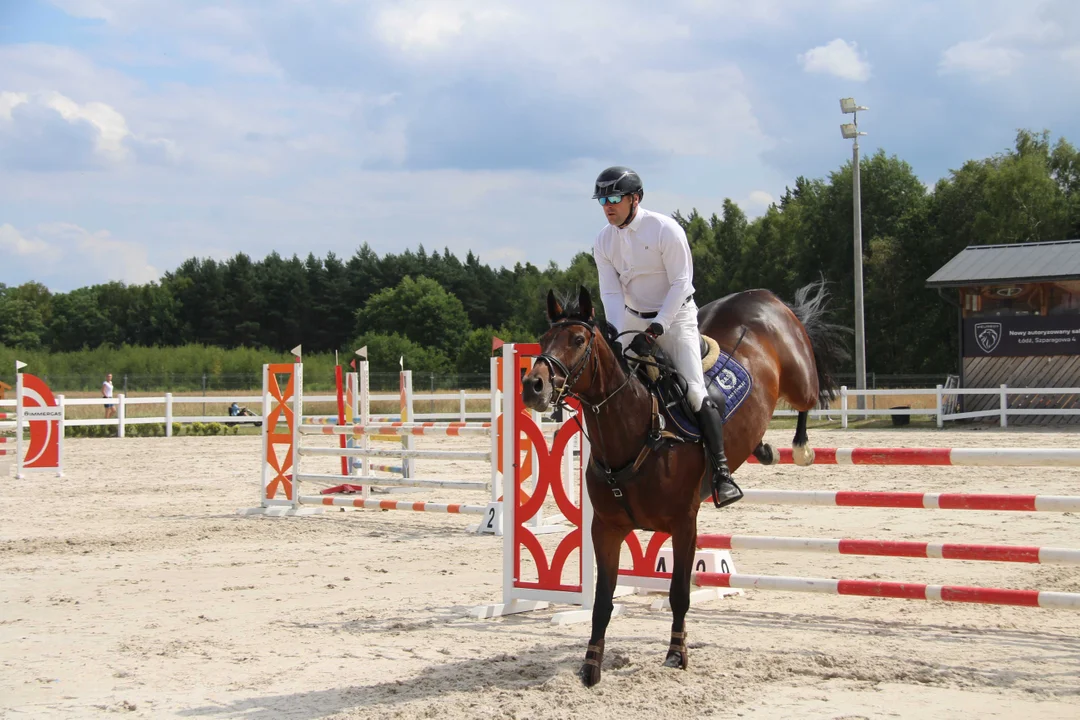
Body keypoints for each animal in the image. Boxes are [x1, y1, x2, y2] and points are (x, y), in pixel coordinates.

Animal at [518, 280, 846, 686]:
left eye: (578, 339)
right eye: (543, 338)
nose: (533, 386)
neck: (638, 430)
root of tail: (764, 295)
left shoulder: (684, 524)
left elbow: (678, 593)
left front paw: (676, 653)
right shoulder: (606, 529)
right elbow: (603, 601)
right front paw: (591, 665)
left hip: (800, 378)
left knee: (808, 398)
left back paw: (800, 447)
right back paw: (764, 448)